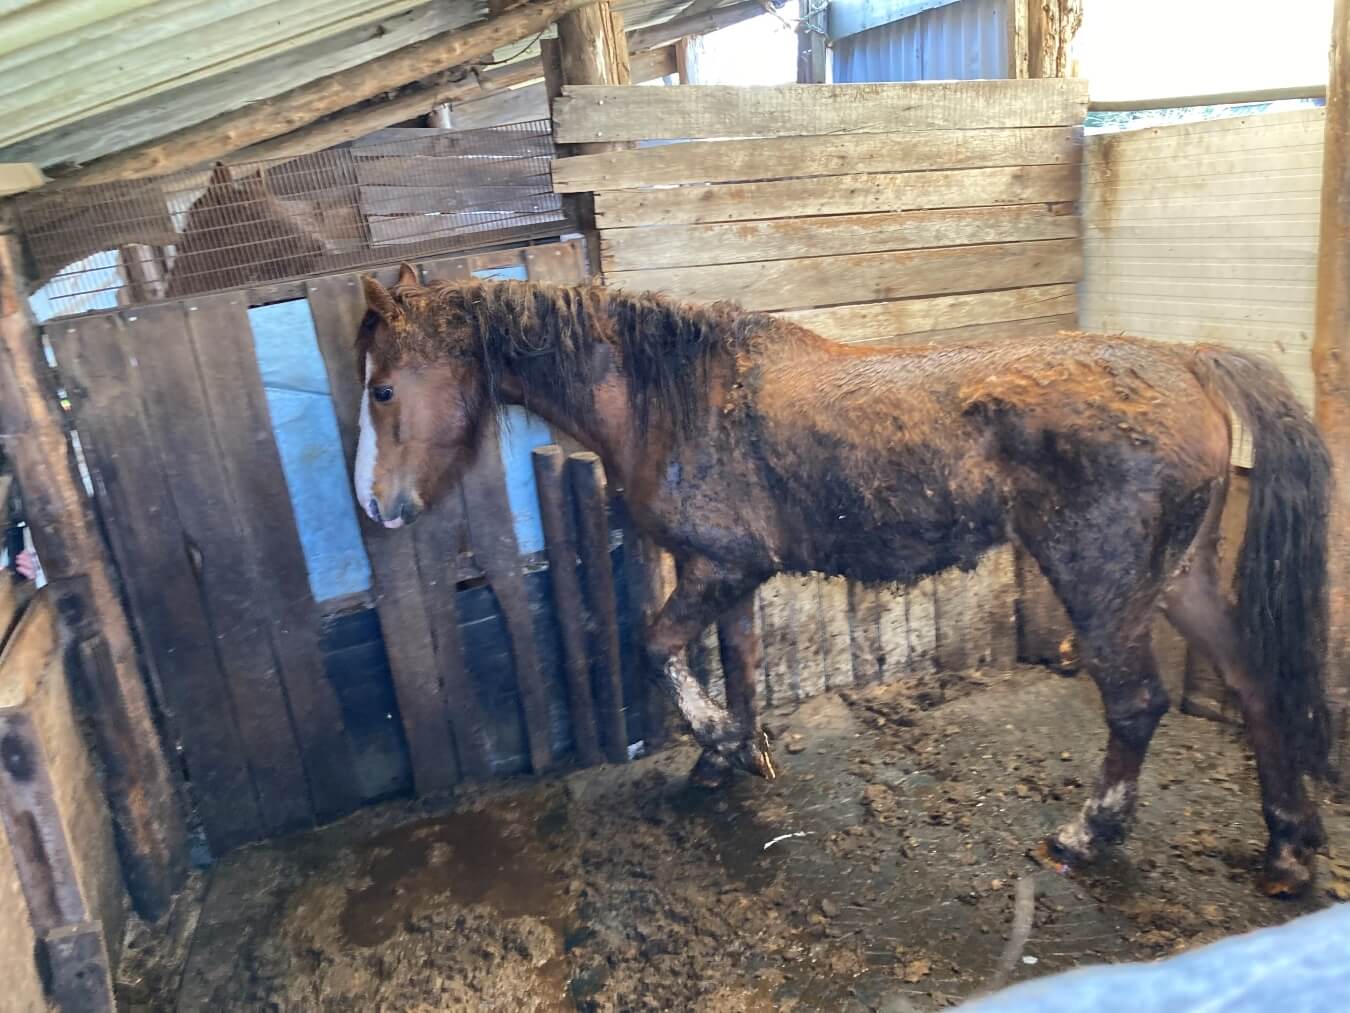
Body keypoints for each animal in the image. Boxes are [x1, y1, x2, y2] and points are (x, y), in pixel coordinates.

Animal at [351, 263, 1331, 898]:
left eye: (383, 389)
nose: (379, 507)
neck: (671, 396)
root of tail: (1191, 360)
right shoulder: (731, 576)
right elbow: (740, 662)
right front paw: (730, 755)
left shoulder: (719, 567)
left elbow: (657, 644)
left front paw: (716, 741)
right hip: (1178, 578)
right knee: (1254, 683)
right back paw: (1288, 848)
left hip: (1103, 583)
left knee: (1135, 703)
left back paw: (1085, 834)